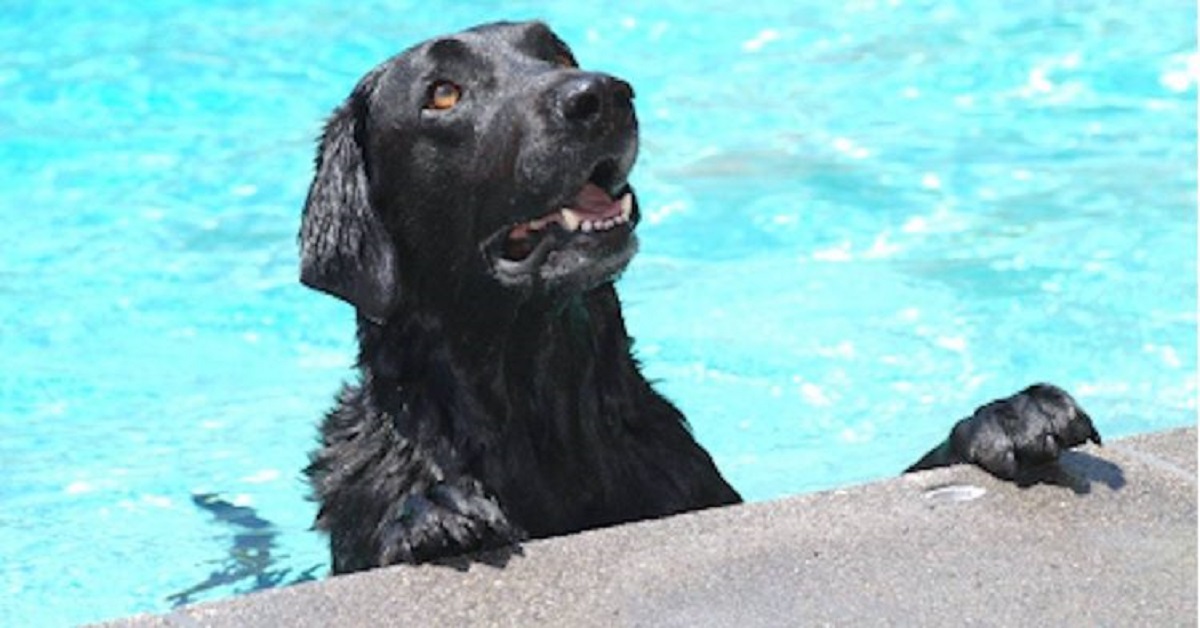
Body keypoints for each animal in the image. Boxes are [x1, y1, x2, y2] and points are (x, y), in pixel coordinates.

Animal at [295, 23, 1099, 573]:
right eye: (444, 93)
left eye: (556, 53)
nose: (600, 95)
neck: (539, 409)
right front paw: (429, 516)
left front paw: (1006, 415)